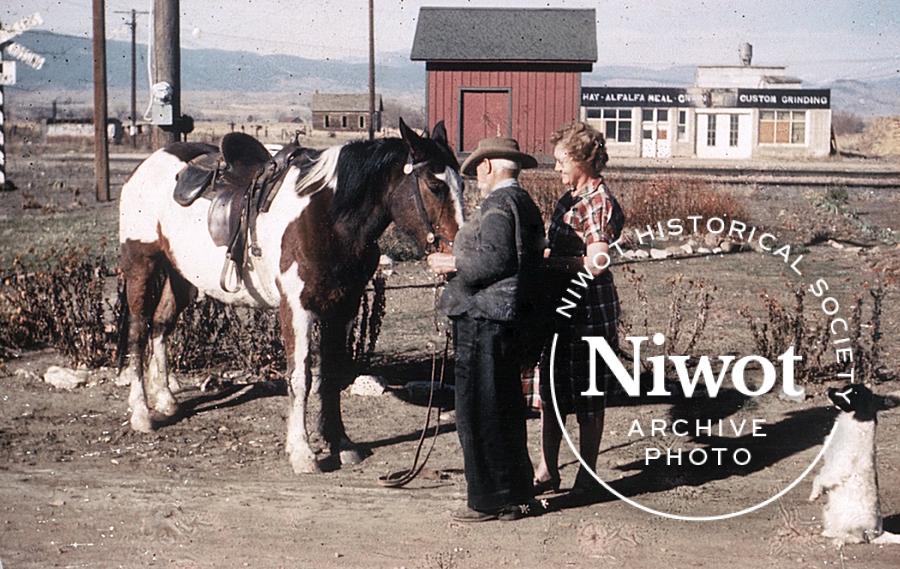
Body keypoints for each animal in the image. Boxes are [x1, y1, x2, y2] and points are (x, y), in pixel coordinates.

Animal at [117, 118, 464, 470]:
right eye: (435, 186)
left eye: (462, 183)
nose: (456, 254)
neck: (326, 217)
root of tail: (146, 167)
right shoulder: (297, 308)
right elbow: (300, 377)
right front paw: (302, 452)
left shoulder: (344, 307)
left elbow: (331, 374)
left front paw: (340, 442)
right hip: (142, 265)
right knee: (138, 332)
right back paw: (142, 414)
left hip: (181, 277)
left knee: (161, 325)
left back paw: (166, 400)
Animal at [808, 384, 900, 544]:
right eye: (845, 388)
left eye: (852, 396)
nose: (829, 389)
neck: (857, 418)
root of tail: (877, 533)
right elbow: (821, 475)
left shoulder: (839, 465)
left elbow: (819, 479)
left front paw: (815, 495)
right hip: (829, 511)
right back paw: (829, 533)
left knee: (857, 539)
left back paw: (834, 536)